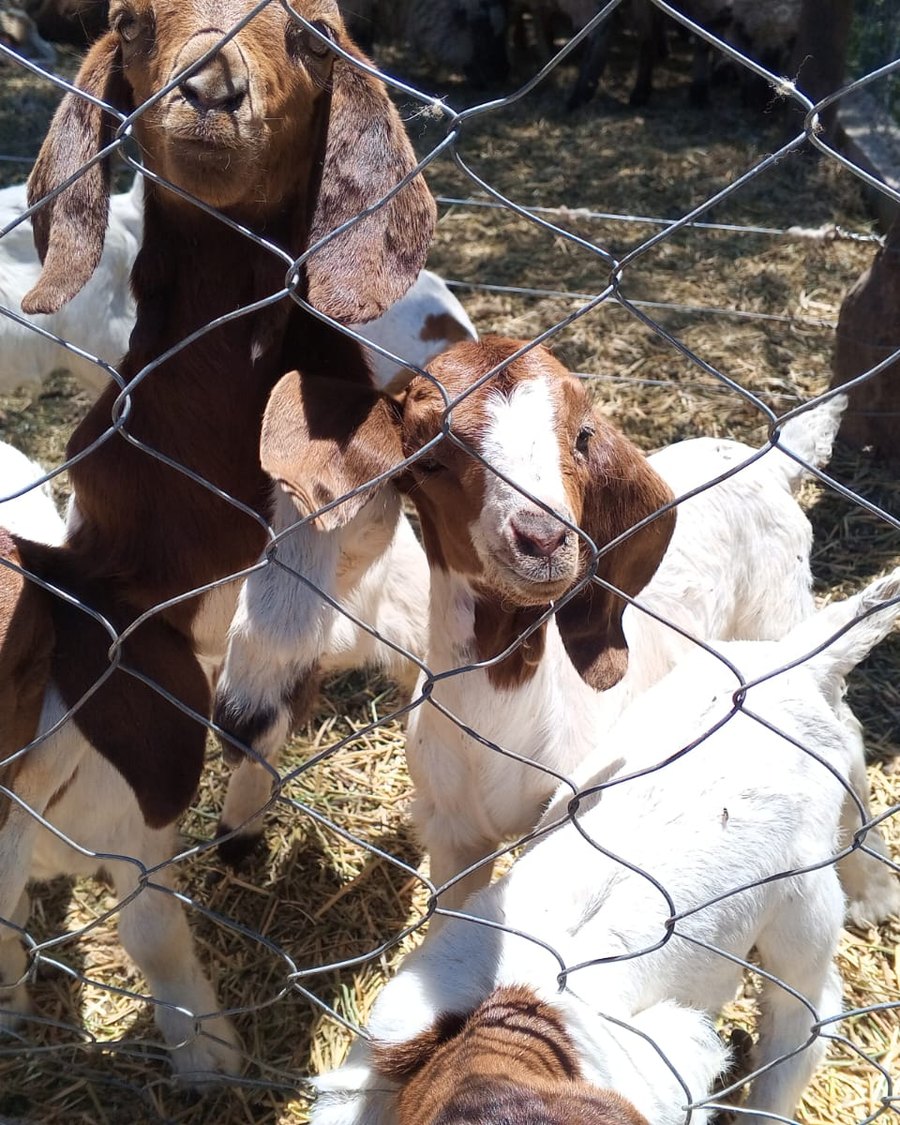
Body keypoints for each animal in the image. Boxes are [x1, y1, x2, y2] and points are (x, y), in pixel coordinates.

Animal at [213, 336, 898, 928]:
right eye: (428, 459)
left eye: (583, 437)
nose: (543, 538)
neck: (504, 705)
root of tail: (771, 463)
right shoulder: (455, 833)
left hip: (779, 615)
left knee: (844, 720)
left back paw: (872, 889)